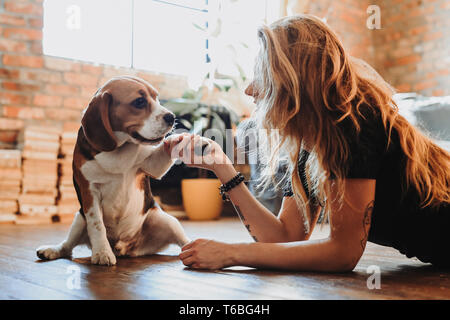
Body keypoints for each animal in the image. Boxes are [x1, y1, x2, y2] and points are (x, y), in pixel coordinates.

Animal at [36, 76, 189, 266]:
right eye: (139, 102)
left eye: (157, 98)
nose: (172, 117)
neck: (119, 149)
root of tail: (128, 247)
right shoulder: (89, 192)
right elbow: (97, 225)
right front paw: (102, 252)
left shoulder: (151, 165)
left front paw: (182, 140)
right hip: (79, 218)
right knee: (67, 247)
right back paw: (52, 251)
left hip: (167, 220)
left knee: (184, 242)